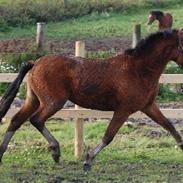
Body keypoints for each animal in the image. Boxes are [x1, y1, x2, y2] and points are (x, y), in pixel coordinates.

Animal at [0, 29, 183, 172]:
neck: (139, 70)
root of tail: (35, 62)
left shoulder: (148, 106)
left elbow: (169, 125)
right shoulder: (123, 110)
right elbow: (108, 136)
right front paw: (87, 161)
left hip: (34, 100)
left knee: (16, 120)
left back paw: (2, 153)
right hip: (53, 102)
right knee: (36, 120)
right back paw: (55, 151)